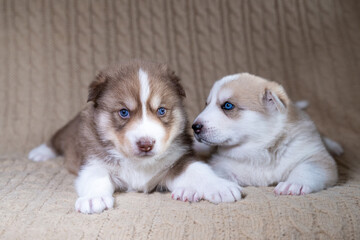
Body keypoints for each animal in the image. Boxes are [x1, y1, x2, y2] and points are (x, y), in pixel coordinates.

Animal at [28, 60, 242, 214]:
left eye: (161, 110)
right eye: (124, 112)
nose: (146, 144)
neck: (138, 163)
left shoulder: (178, 161)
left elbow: (199, 170)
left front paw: (220, 186)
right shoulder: (93, 161)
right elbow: (96, 178)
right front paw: (93, 199)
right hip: (66, 132)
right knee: (55, 139)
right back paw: (39, 153)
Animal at [193, 73, 338, 195]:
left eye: (228, 105)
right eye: (206, 104)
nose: (194, 127)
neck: (259, 149)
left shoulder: (315, 156)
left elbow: (307, 169)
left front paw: (293, 184)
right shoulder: (221, 164)